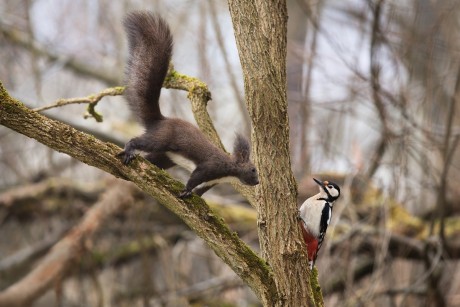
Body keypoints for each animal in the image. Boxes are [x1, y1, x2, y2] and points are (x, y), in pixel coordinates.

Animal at [117, 11, 258, 197]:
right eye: (253, 169)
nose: (257, 182)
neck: (228, 172)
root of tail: (160, 120)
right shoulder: (209, 168)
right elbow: (194, 178)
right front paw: (186, 190)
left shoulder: (211, 181)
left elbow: (200, 190)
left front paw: (195, 195)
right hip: (161, 139)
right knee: (140, 141)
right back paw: (129, 150)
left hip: (165, 156)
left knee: (151, 161)